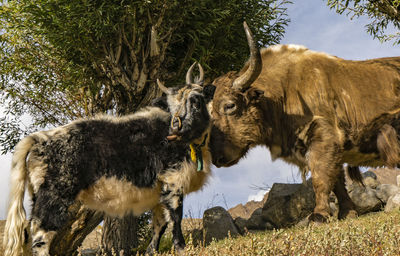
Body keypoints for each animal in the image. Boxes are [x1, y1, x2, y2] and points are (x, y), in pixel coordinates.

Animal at [3, 62, 216, 256]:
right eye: (172, 105)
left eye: (196, 101)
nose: (176, 127)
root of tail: (42, 137)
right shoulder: (174, 181)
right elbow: (175, 217)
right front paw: (181, 248)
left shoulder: (160, 190)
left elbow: (160, 223)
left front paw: (151, 252)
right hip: (54, 197)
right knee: (40, 234)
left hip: (38, 195)